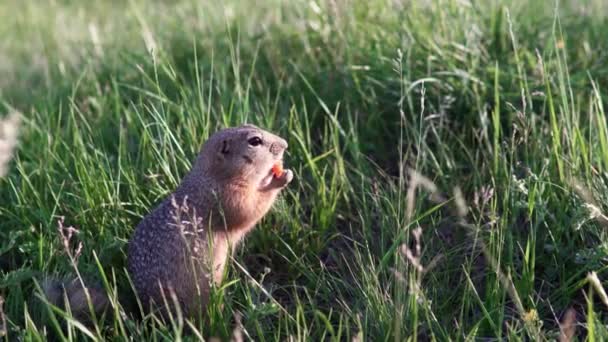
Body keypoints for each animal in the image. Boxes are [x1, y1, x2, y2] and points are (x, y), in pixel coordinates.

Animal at [44, 125, 294, 320]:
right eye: (255, 141)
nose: (285, 144)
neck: (212, 175)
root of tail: (143, 312)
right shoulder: (226, 198)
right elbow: (249, 211)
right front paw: (279, 178)